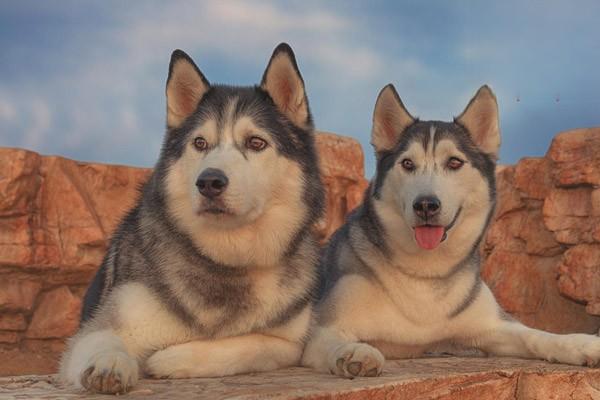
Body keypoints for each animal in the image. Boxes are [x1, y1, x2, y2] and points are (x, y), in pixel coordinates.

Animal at [58, 43, 326, 394]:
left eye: (256, 142)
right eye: (200, 143)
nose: (209, 181)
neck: (227, 261)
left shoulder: (290, 341)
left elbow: (250, 343)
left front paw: (169, 359)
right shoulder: (104, 324)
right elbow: (102, 339)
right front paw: (109, 363)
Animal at [300, 83, 600, 378]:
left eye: (454, 162)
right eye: (407, 164)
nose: (426, 205)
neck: (426, 274)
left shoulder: (492, 325)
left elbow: (536, 335)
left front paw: (580, 344)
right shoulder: (320, 330)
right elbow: (334, 340)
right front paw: (354, 352)